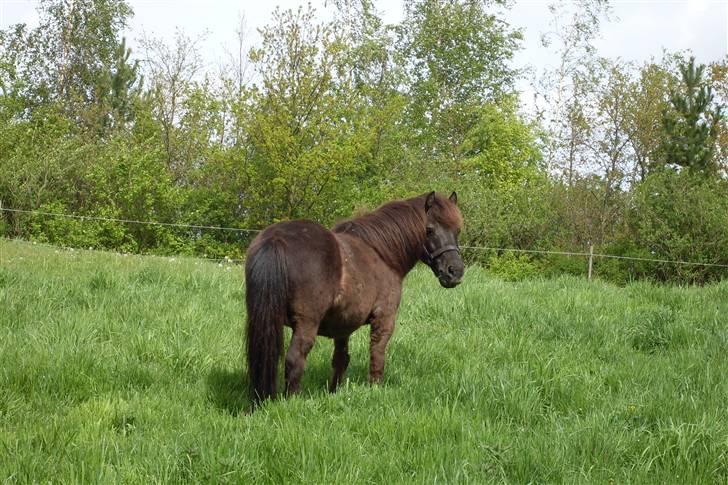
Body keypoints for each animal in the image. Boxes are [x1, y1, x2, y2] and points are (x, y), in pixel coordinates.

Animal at [242, 191, 464, 402]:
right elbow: (377, 355)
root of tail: (276, 238)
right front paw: (375, 388)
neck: (382, 254)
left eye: (457, 230)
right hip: (306, 324)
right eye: (429, 230)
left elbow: (340, 359)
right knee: (295, 360)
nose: (455, 271)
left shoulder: (343, 326)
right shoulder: (384, 319)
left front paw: (334, 392)